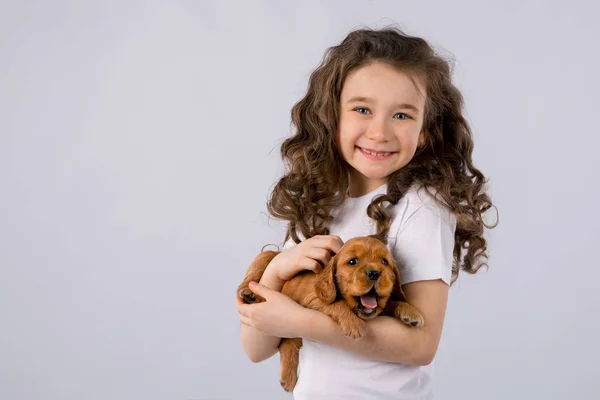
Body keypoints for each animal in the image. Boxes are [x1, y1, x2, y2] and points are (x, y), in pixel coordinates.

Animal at [237, 236, 424, 392]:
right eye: (352, 261)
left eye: (384, 262)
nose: (374, 272)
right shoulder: (312, 299)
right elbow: (337, 303)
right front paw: (354, 325)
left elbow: (390, 302)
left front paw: (411, 312)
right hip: (267, 256)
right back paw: (247, 292)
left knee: (289, 342)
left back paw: (287, 378)